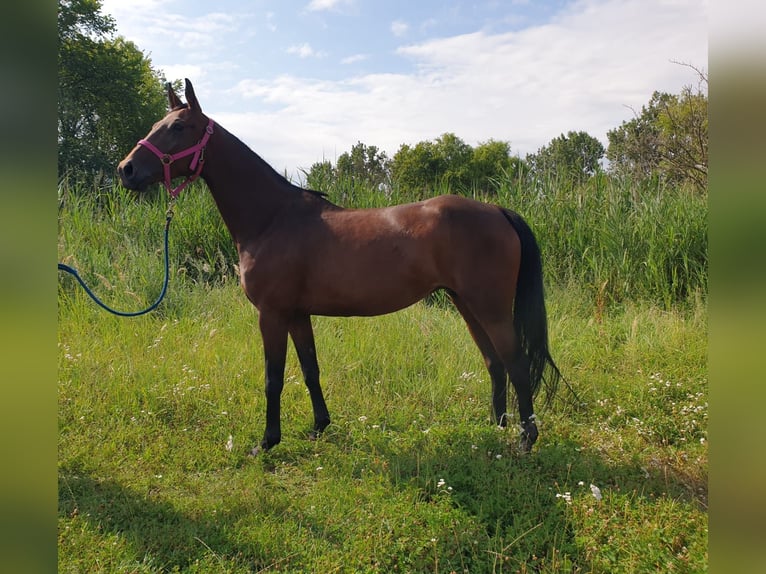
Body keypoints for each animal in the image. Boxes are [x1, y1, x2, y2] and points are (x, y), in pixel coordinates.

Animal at [120, 81, 564, 456]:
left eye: (179, 127)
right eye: (158, 125)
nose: (126, 170)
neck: (272, 218)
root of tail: (497, 210)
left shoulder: (272, 314)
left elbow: (273, 378)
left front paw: (266, 442)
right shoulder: (297, 315)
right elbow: (310, 370)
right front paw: (319, 427)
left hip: (490, 307)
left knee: (516, 363)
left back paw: (525, 440)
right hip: (466, 304)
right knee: (494, 362)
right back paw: (496, 427)